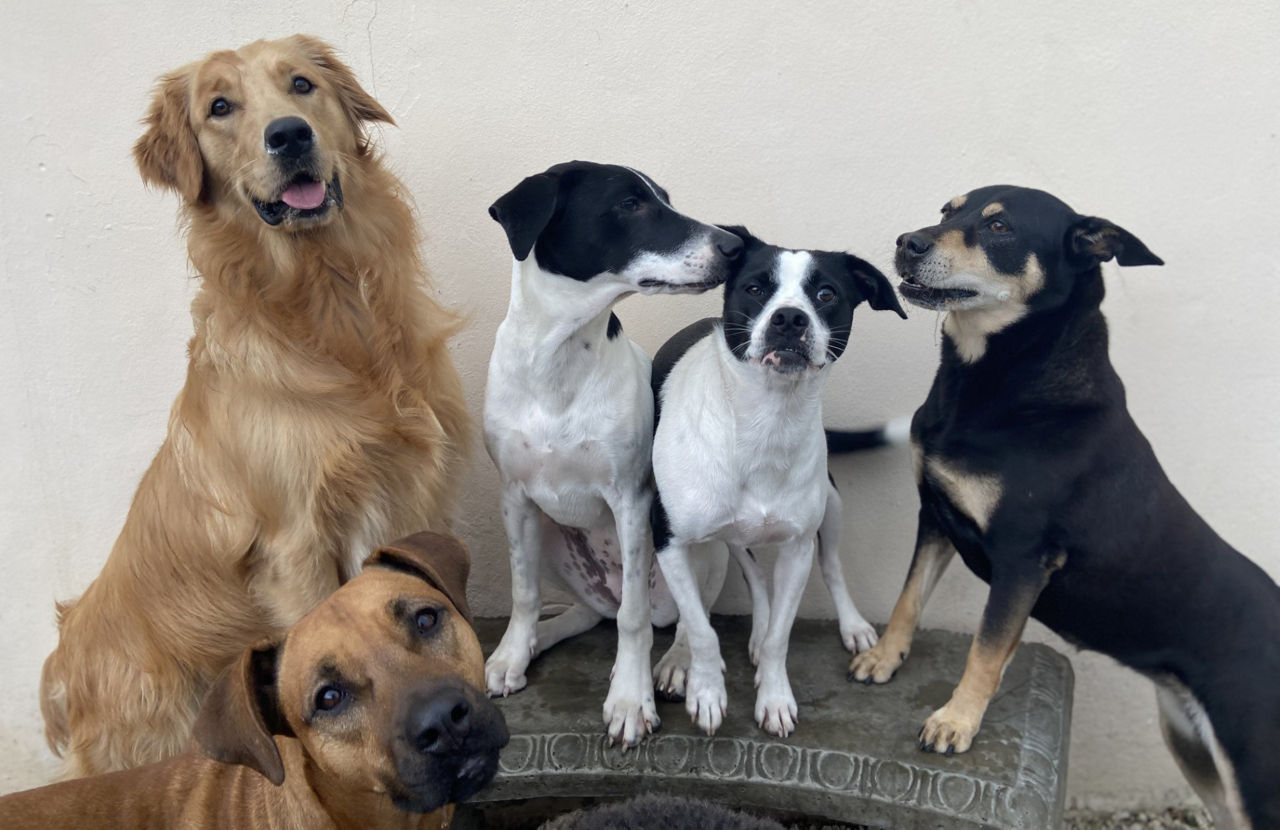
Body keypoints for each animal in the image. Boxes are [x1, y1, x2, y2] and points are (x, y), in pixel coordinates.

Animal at [40, 35, 473, 778]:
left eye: (301, 85)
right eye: (220, 106)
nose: (289, 135)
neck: (330, 306)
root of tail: (65, 667)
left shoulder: (416, 489)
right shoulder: (294, 544)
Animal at [481, 162, 747, 748]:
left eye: (665, 198)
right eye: (630, 204)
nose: (734, 245)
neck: (557, 358)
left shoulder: (631, 500)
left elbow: (634, 620)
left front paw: (629, 699)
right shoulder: (513, 496)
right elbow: (523, 593)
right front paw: (512, 653)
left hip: (698, 546)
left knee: (680, 617)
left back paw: (676, 663)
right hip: (552, 537)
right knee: (587, 613)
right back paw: (542, 637)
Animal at [655, 225, 906, 732]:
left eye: (826, 294)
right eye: (755, 288)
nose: (789, 318)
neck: (765, 421)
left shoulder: (796, 550)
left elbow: (780, 638)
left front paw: (773, 698)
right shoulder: (669, 542)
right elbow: (701, 628)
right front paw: (706, 691)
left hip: (830, 506)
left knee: (830, 567)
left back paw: (851, 625)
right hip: (725, 537)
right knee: (749, 572)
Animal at [844, 184, 1280, 824]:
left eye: (1000, 227)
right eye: (949, 210)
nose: (907, 242)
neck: (1006, 378)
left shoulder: (1024, 559)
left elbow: (986, 648)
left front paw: (956, 721)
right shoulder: (935, 515)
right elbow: (908, 597)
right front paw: (883, 658)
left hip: (1253, 765)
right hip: (1194, 748)